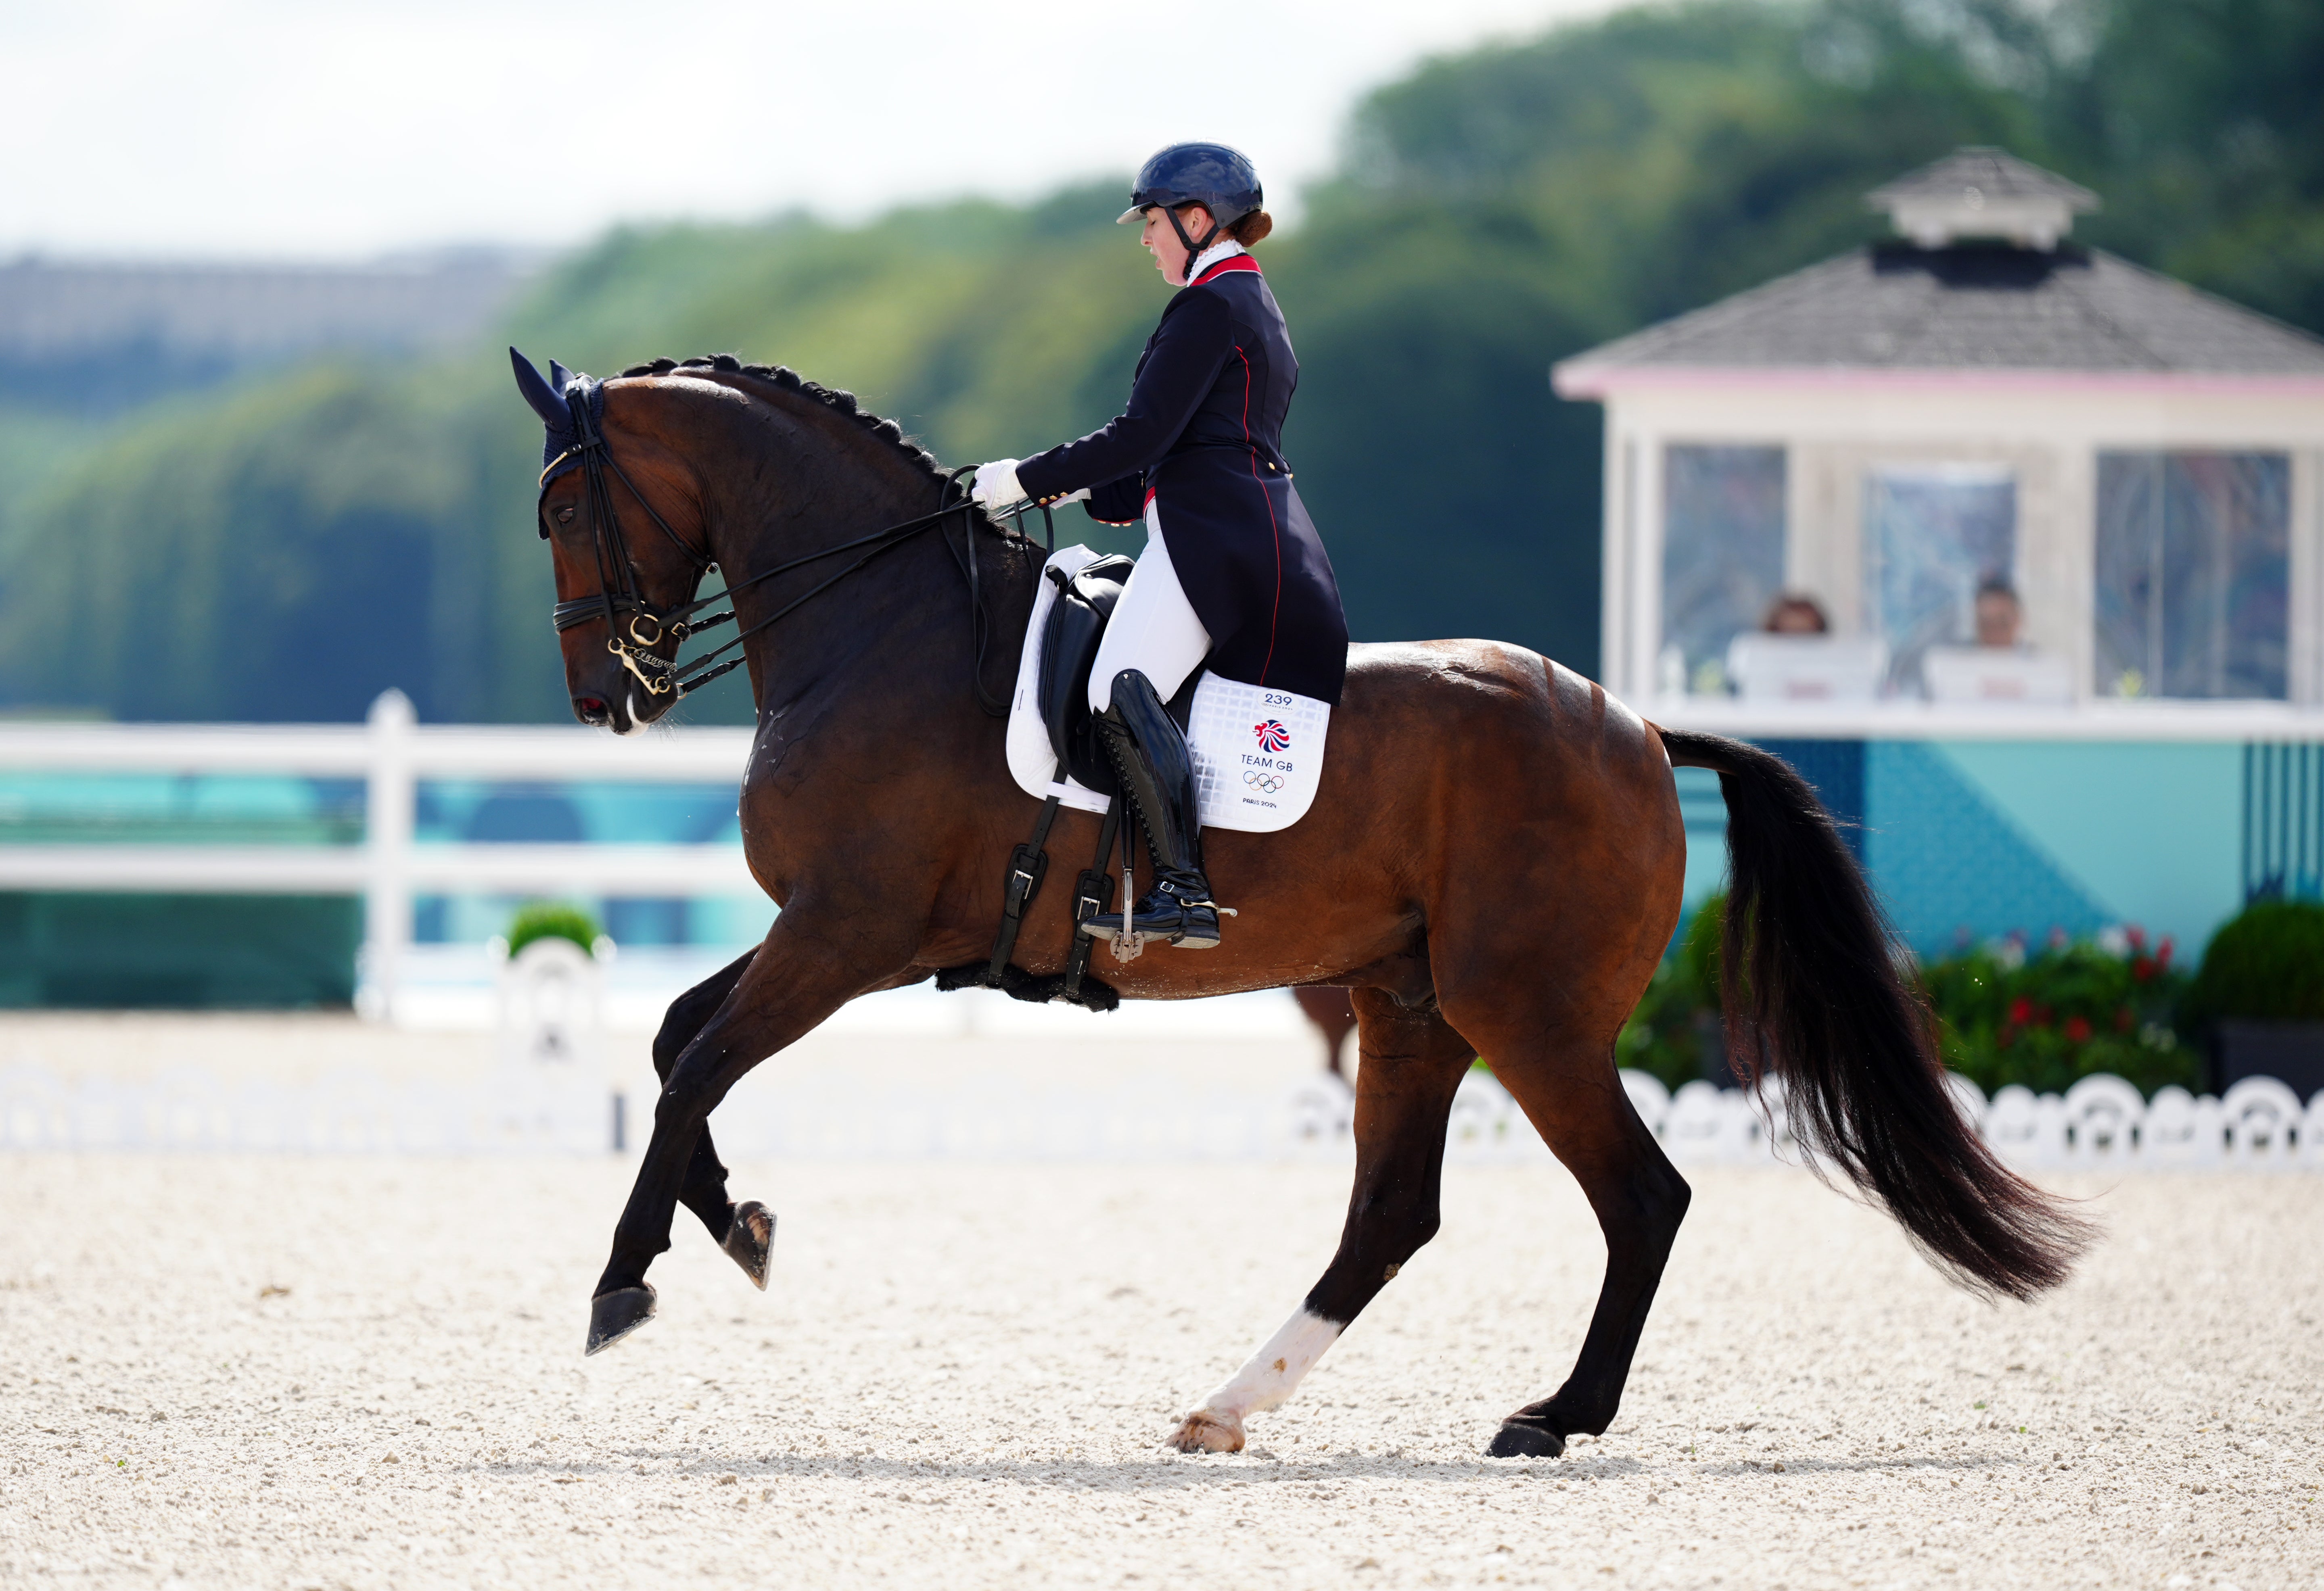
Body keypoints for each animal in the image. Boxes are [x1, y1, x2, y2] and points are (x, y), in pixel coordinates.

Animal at [523, 353, 2092, 1458]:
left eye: (558, 509)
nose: (609, 697)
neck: (879, 626)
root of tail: (1644, 730)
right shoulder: (854, 939)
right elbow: (672, 1044)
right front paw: (738, 1225)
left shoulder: (847, 934)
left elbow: (693, 1067)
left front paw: (622, 1282)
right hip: (1410, 1007)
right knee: (1394, 1213)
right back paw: (1230, 1403)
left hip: (1529, 1015)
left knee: (1641, 1196)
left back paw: (1553, 1415)